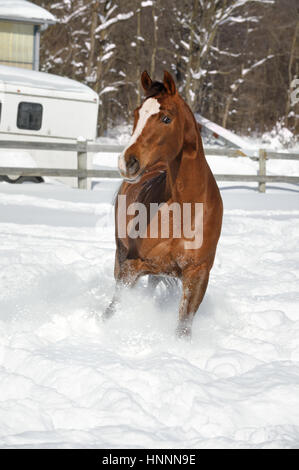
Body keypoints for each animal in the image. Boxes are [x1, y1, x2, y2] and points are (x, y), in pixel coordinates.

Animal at [104, 70, 224, 338]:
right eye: (136, 113)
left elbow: (183, 326)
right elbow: (113, 309)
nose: (126, 162)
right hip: (123, 255)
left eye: (166, 118)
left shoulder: (197, 273)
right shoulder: (132, 265)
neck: (185, 210)